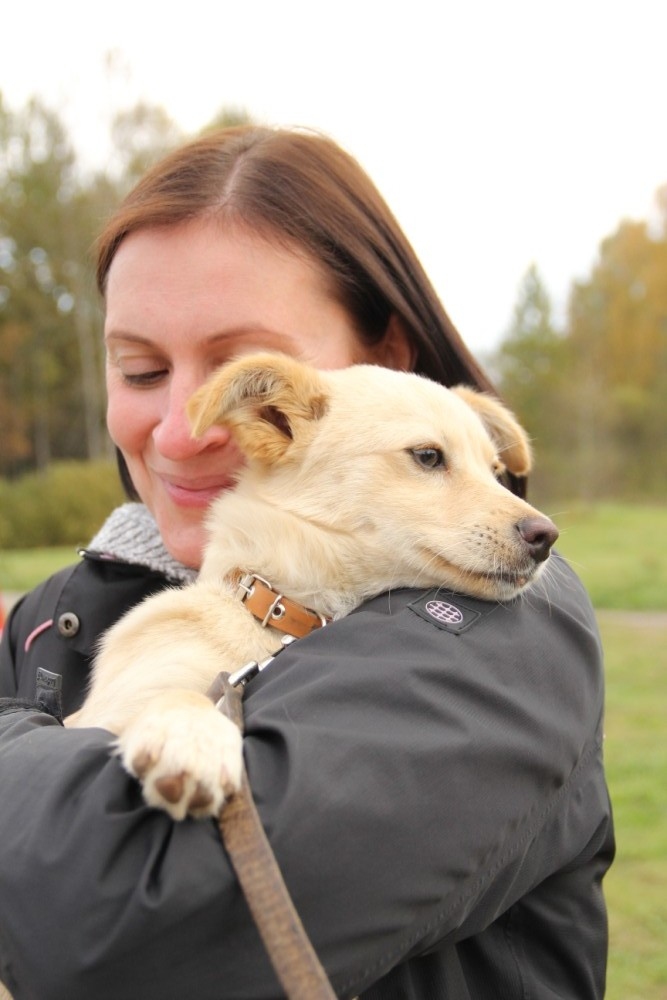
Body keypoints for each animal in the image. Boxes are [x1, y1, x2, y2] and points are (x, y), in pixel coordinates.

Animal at [68, 352, 560, 820]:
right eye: (427, 456)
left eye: (494, 470)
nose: (547, 537)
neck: (280, 611)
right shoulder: (105, 708)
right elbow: (180, 693)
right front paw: (190, 736)